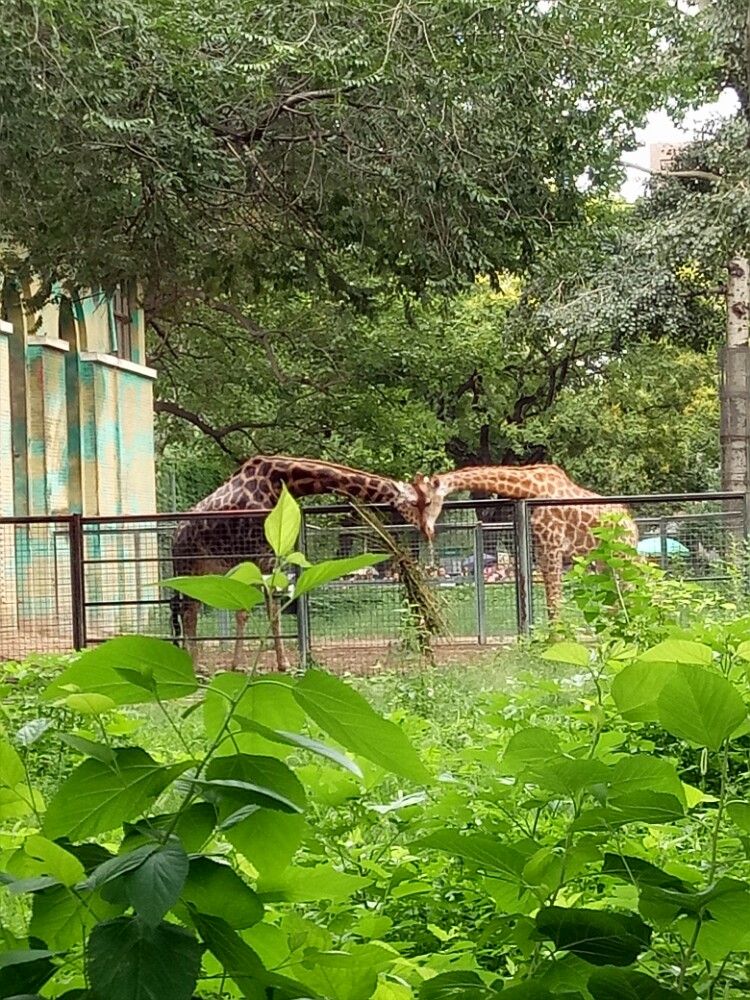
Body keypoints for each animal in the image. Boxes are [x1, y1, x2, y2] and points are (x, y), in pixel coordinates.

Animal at [172, 456, 428, 672]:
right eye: (415, 502)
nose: (424, 529)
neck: (282, 482)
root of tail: (175, 536)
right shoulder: (258, 557)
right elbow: (256, 611)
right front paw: (258, 665)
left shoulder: (267, 559)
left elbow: (262, 611)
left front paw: (266, 663)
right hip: (188, 566)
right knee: (188, 611)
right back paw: (196, 666)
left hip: (203, 570)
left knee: (190, 610)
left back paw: (196, 664)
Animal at [414, 462, 636, 616]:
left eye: (427, 501)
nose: (425, 529)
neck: (533, 489)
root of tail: (632, 525)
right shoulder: (540, 548)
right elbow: (550, 601)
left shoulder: (553, 546)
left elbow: (555, 601)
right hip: (604, 560)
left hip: (624, 554)